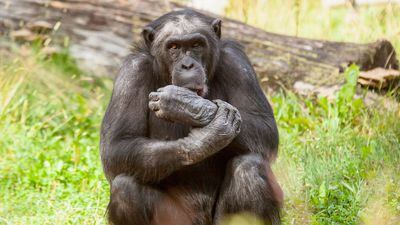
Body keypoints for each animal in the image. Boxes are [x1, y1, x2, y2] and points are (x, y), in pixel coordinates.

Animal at [100, 8, 282, 225]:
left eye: (196, 45)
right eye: (174, 47)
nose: (187, 65)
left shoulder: (237, 62)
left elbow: (265, 127)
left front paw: (187, 105)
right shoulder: (132, 72)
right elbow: (118, 144)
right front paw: (204, 137)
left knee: (249, 169)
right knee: (125, 189)